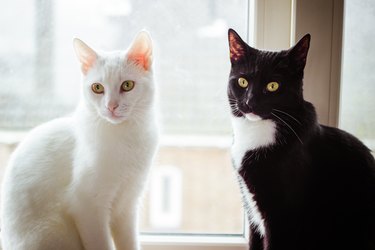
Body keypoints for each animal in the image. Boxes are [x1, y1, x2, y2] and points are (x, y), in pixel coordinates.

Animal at [0, 30, 159, 249]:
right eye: (97, 88)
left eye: (127, 85)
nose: (111, 106)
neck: (126, 137)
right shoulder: (87, 207)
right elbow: (101, 244)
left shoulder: (127, 206)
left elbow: (129, 242)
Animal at [228, 28, 375, 249]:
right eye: (242, 82)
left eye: (273, 85)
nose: (249, 102)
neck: (257, 132)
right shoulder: (251, 209)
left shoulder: (282, 219)